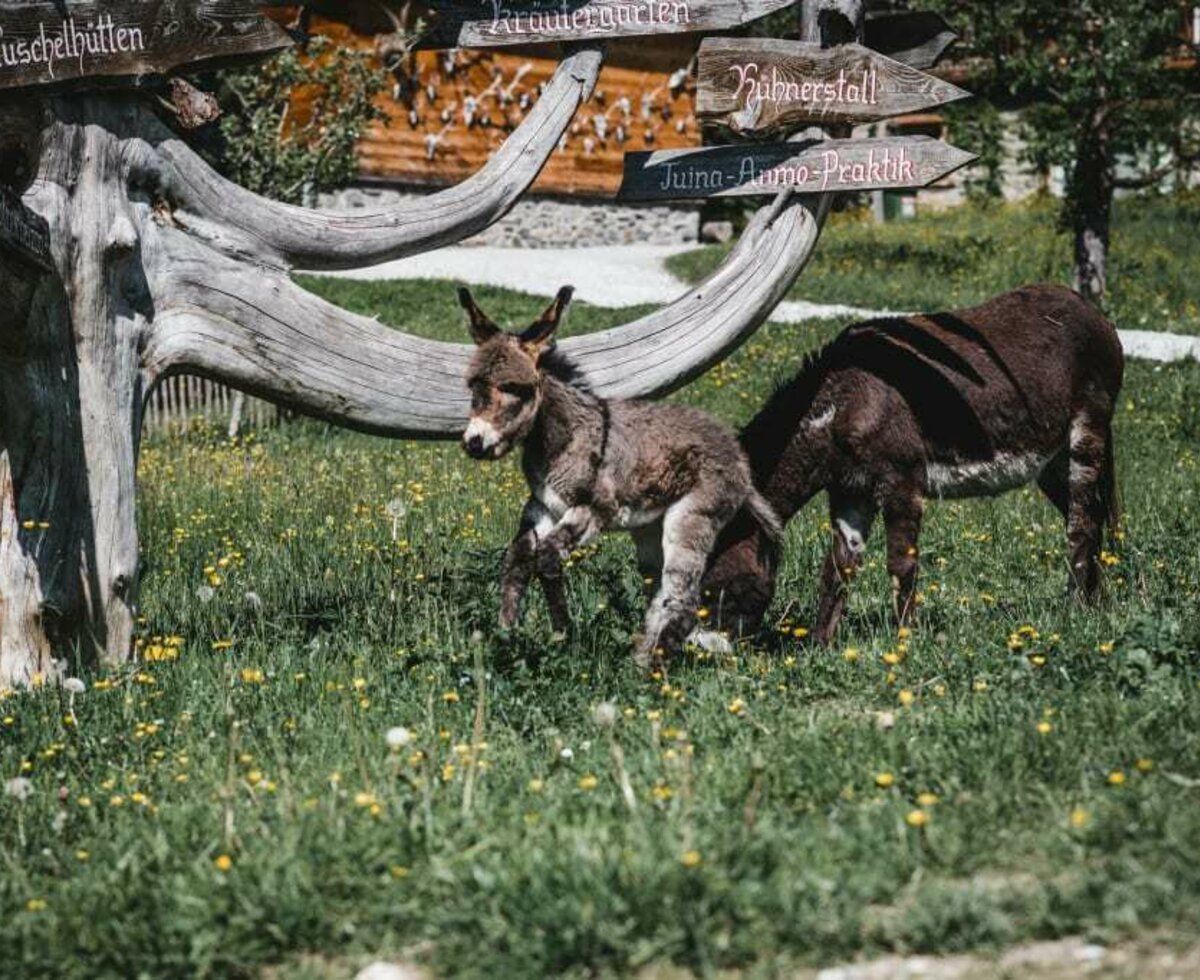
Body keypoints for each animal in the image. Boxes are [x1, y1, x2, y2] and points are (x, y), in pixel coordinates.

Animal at [456, 283, 777, 666]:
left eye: (514, 388)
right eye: (472, 385)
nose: (474, 442)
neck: (561, 440)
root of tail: (739, 458)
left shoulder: (593, 509)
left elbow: (546, 558)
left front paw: (564, 636)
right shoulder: (544, 508)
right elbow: (517, 560)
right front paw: (506, 638)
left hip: (693, 517)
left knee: (683, 600)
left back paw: (649, 672)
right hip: (650, 530)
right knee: (659, 594)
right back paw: (638, 659)